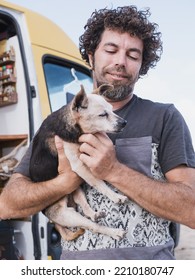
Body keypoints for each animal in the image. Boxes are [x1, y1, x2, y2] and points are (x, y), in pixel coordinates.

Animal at [29, 84, 128, 242]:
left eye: (113, 110)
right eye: (102, 115)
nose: (124, 123)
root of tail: (54, 222)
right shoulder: (79, 166)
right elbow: (99, 183)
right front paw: (115, 196)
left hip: (77, 192)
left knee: (87, 212)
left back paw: (95, 214)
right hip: (67, 215)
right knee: (92, 226)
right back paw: (115, 232)